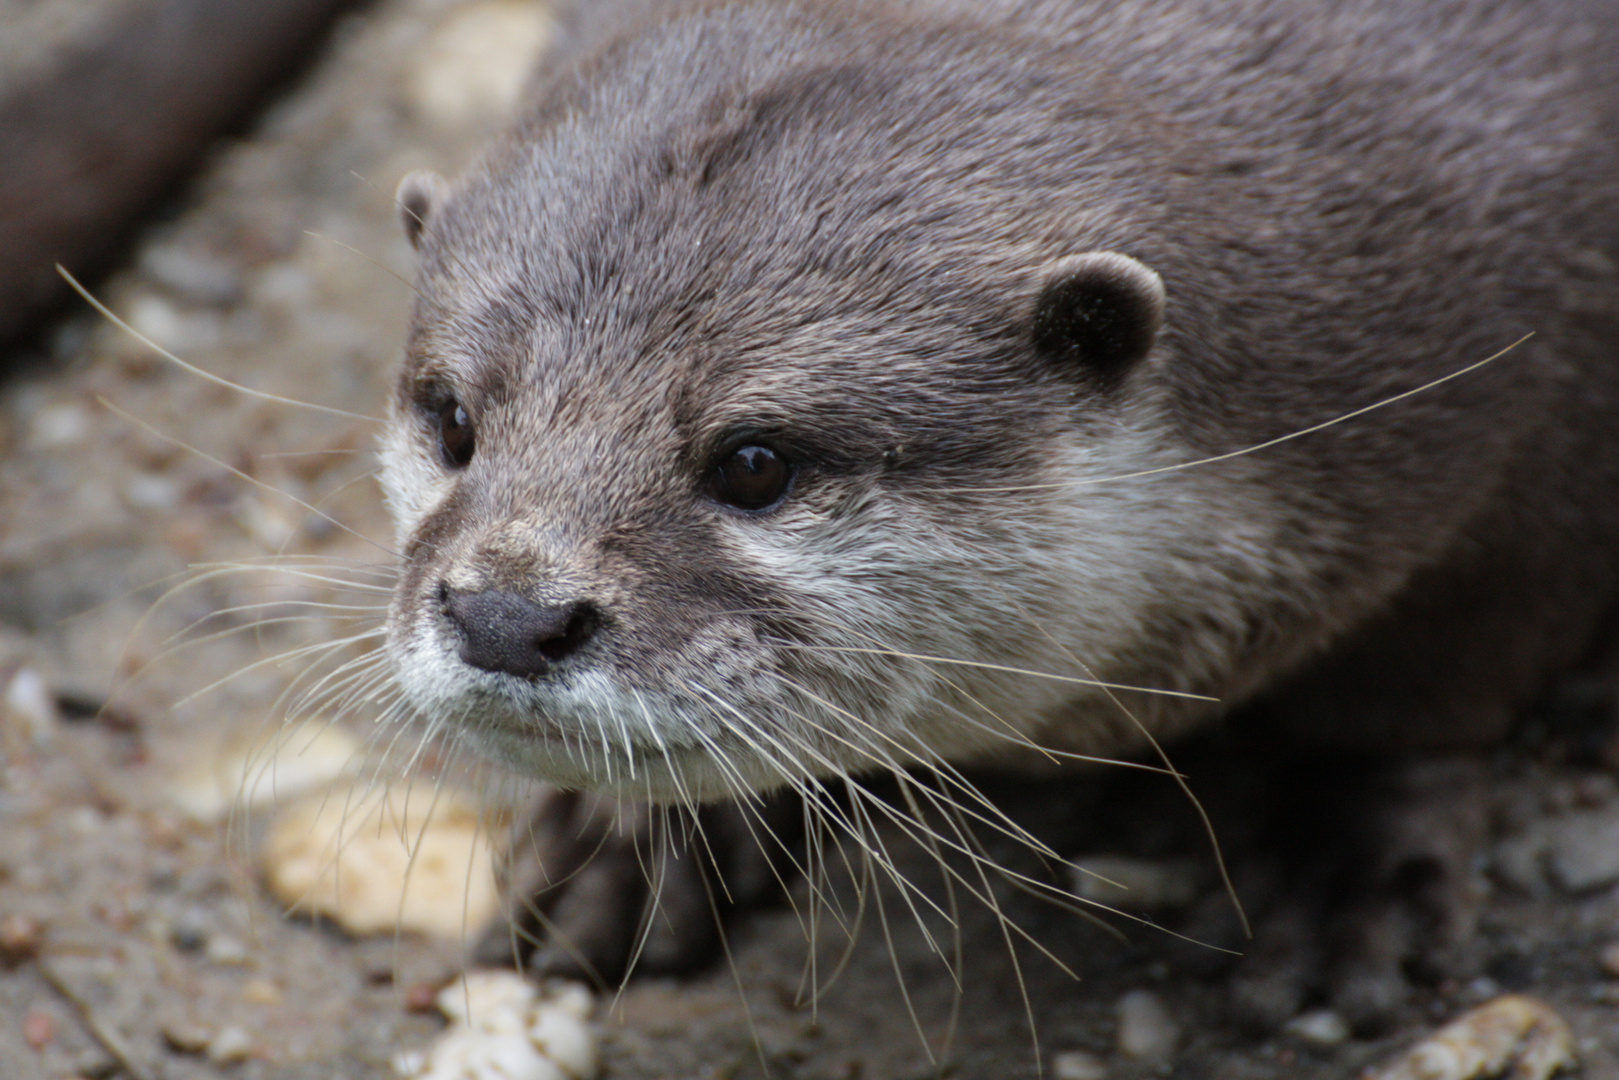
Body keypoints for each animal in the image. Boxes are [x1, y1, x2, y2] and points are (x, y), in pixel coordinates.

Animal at [382, 0, 1619, 1036]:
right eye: (453, 420)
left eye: (754, 464)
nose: (505, 615)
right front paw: (628, 847)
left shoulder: (1535, 441)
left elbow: (1418, 688)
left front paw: (1342, 876)